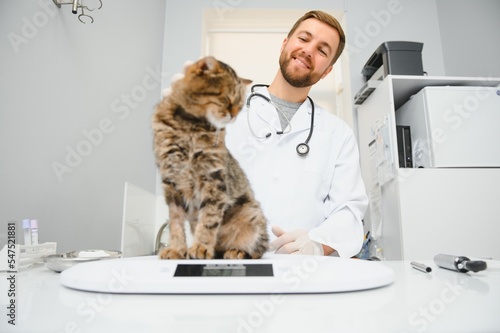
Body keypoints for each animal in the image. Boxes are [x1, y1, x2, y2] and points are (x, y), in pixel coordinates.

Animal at [152, 56, 270, 260]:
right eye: (227, 99)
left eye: (240, 106)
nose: (233, 115)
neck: (189, 126)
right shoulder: (171, 182)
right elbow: (175, 223)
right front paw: (176, 249)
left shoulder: (213, 179)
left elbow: (208, 220)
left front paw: (200, 247)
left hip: (253, 214)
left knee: (257, 250)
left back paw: (236, 251)